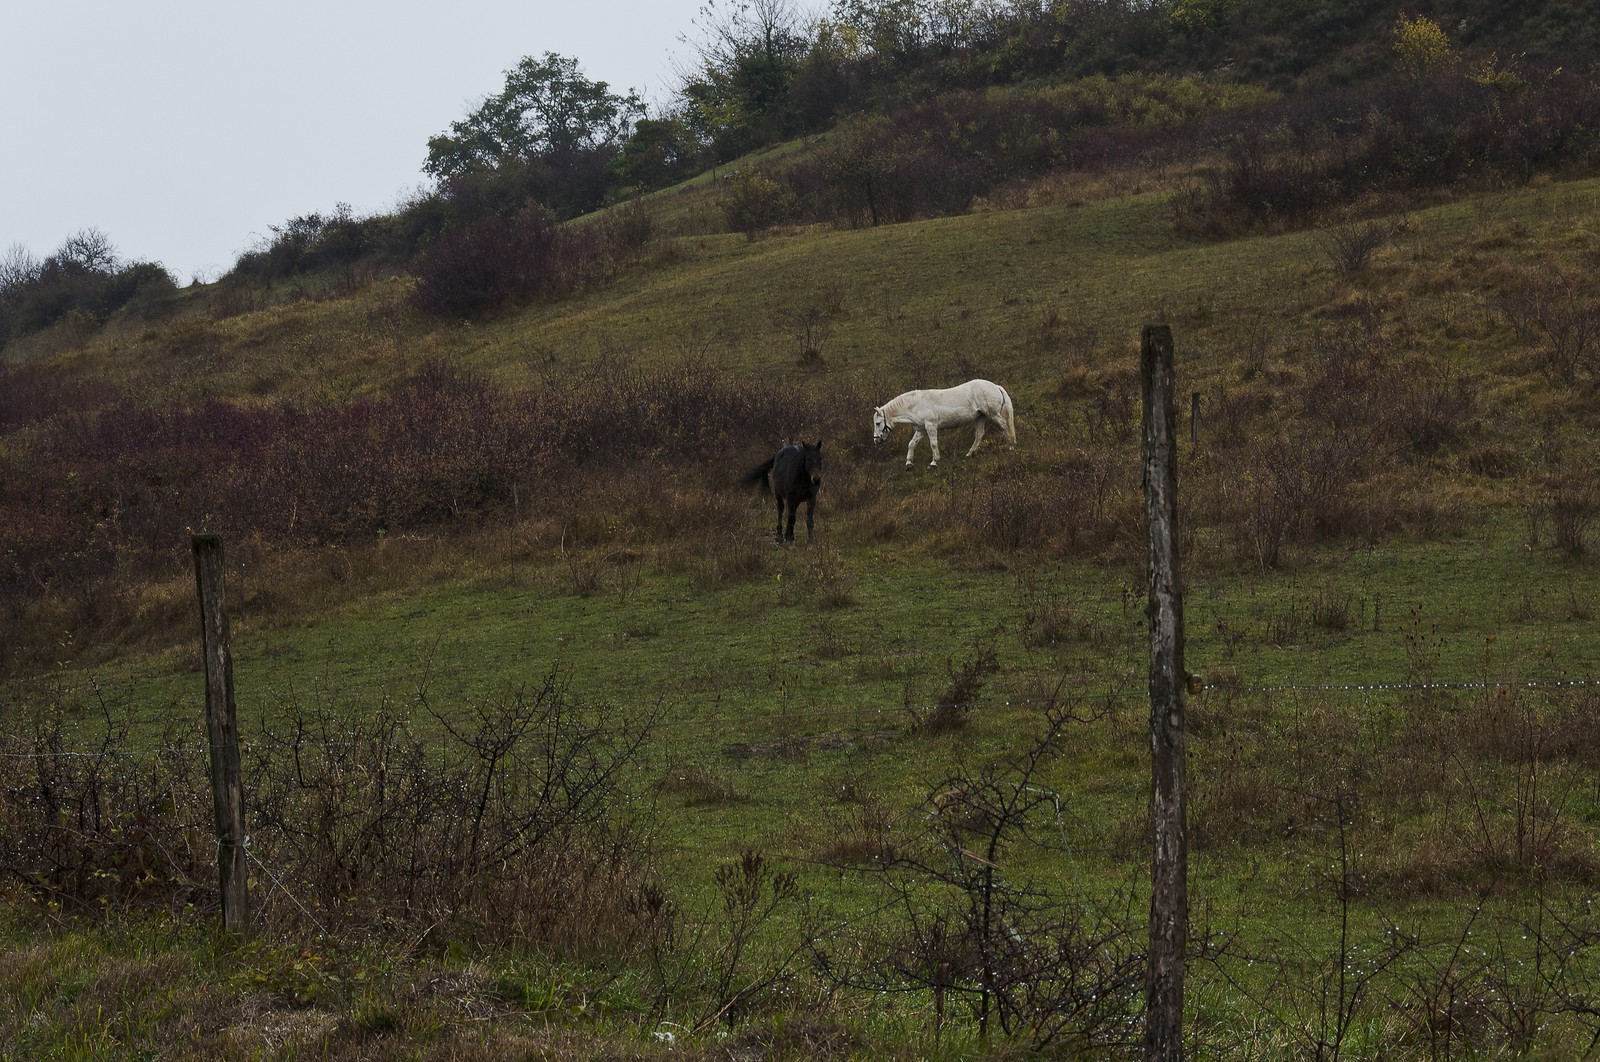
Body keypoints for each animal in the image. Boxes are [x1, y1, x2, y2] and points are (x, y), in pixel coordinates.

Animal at [872, 379, 1017, 468]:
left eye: (878, 423)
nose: (876, 440)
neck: (916, 405)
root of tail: (996, 386)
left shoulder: (930, 426)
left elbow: (933, 443)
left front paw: (934, 462)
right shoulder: (921, 430)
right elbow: (911, 444)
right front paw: (909, 463)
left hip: (992, 414)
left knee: (1004, 426)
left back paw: (1010, 446)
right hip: (980, 417)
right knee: (979, 434)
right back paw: (970, 453)